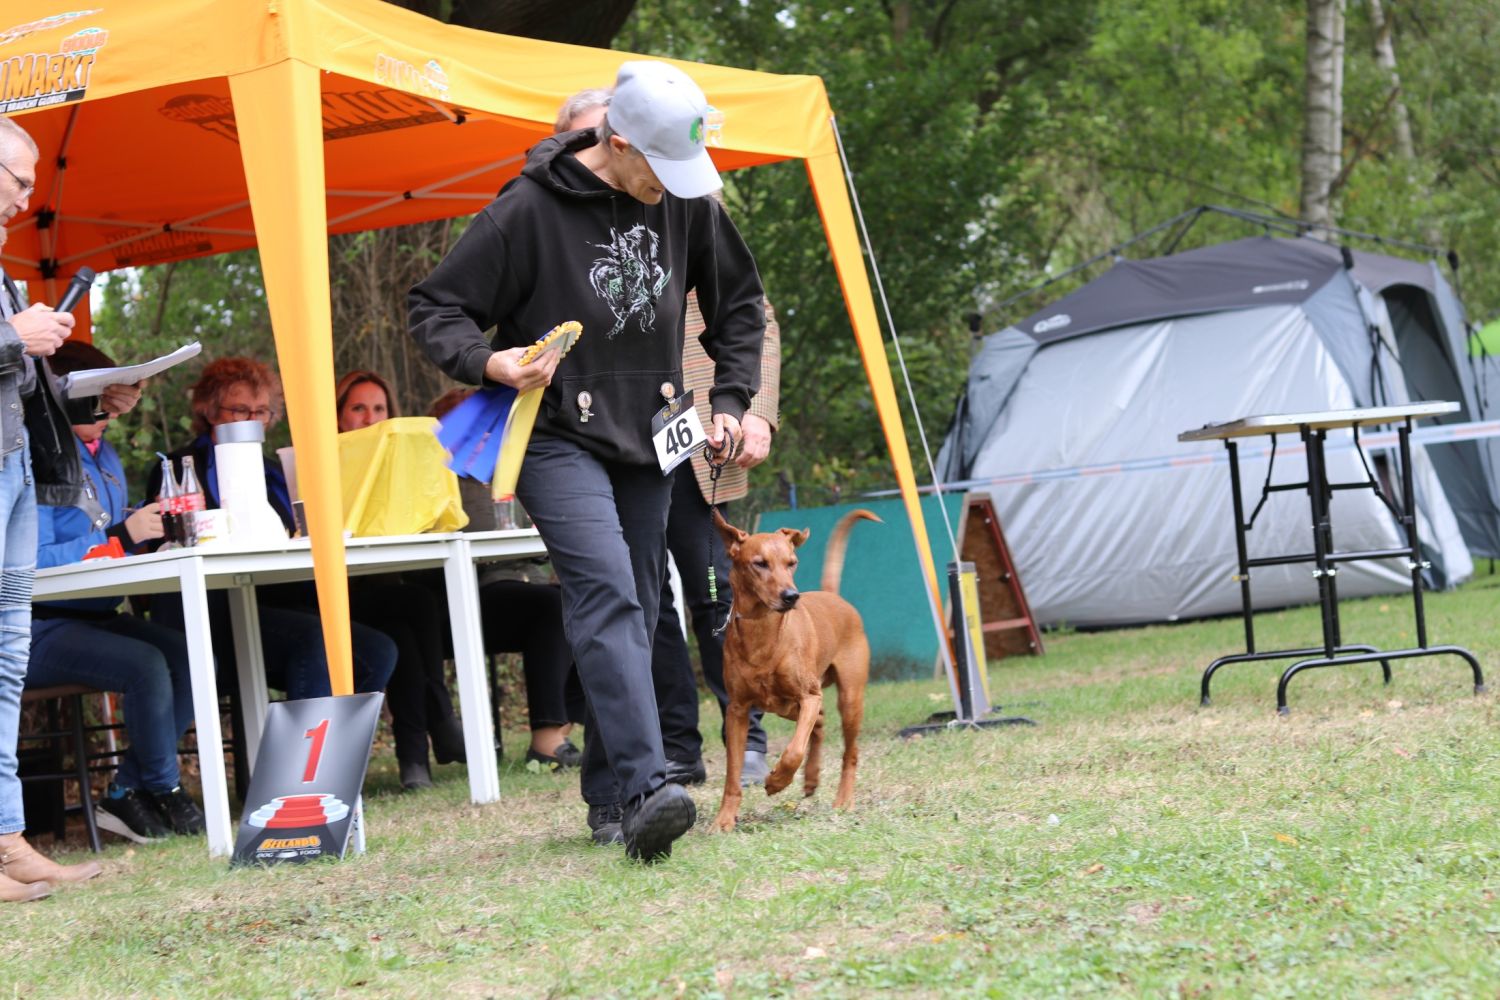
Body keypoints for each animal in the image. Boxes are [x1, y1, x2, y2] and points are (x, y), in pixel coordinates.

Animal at [709, 507, 880, 833]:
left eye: (792, 562)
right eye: (759, 563)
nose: (791, 596)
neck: (763, 629)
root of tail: (833, 596)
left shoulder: (808, 696)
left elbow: (793, 751)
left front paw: (776, 781)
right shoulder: (737, 710)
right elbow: (732, 774)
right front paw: (724, 819)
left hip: (848, 699)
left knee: (849, 752)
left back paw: (844, 800)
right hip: (785, 706)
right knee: (821, 722)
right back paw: (811, 777)